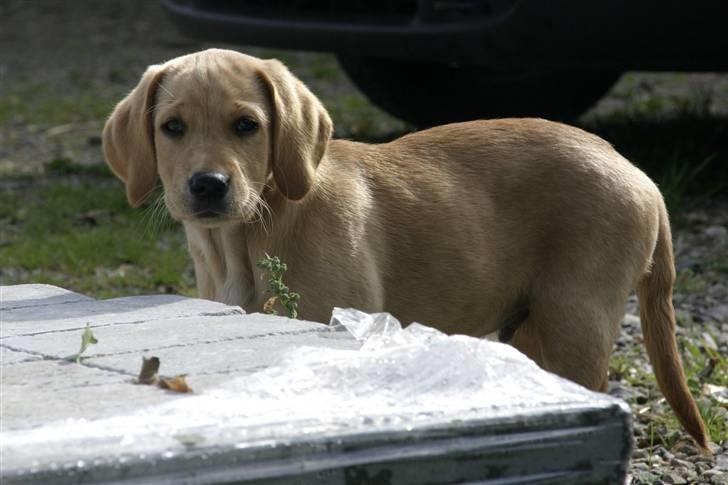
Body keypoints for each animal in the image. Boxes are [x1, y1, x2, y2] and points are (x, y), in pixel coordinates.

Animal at [102, 49, 704, 450]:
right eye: (172, 127)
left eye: (246, 125)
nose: (208, 185)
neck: (244, 239)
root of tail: (638, 174)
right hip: (531, 328)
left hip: (576, 319)